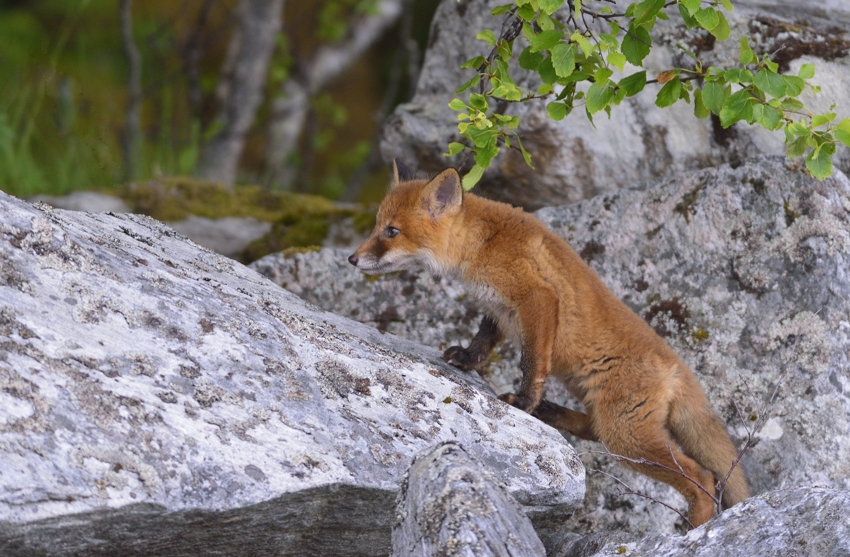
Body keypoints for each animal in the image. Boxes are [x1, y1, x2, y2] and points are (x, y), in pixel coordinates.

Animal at [346, 161, 748, 524]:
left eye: (392, 231)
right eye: (377, 226)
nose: (351, 258)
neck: (483, 244)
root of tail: (677, 367)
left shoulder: (537, 298)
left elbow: (532, 362)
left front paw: (524, 401)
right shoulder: (499, 309)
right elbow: (483, 341)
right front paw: (467, 359)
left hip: (627, 437)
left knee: (703, 479)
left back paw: (696, 529)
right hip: (610, 418)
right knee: (592, 428)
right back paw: (551, 413)